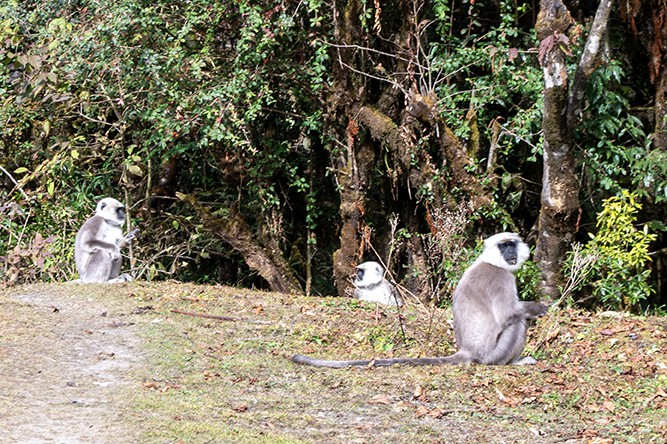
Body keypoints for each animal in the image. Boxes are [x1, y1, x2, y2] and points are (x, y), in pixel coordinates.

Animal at [292, 233, 548, 368]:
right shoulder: (502, 278)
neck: (490, 262)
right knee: (518, 321)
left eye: (512, 245)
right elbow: (508, 314)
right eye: (504, 246)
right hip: (494, 355)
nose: (511, 254)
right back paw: (515, 361)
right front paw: (537, 307)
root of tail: (467, 350)